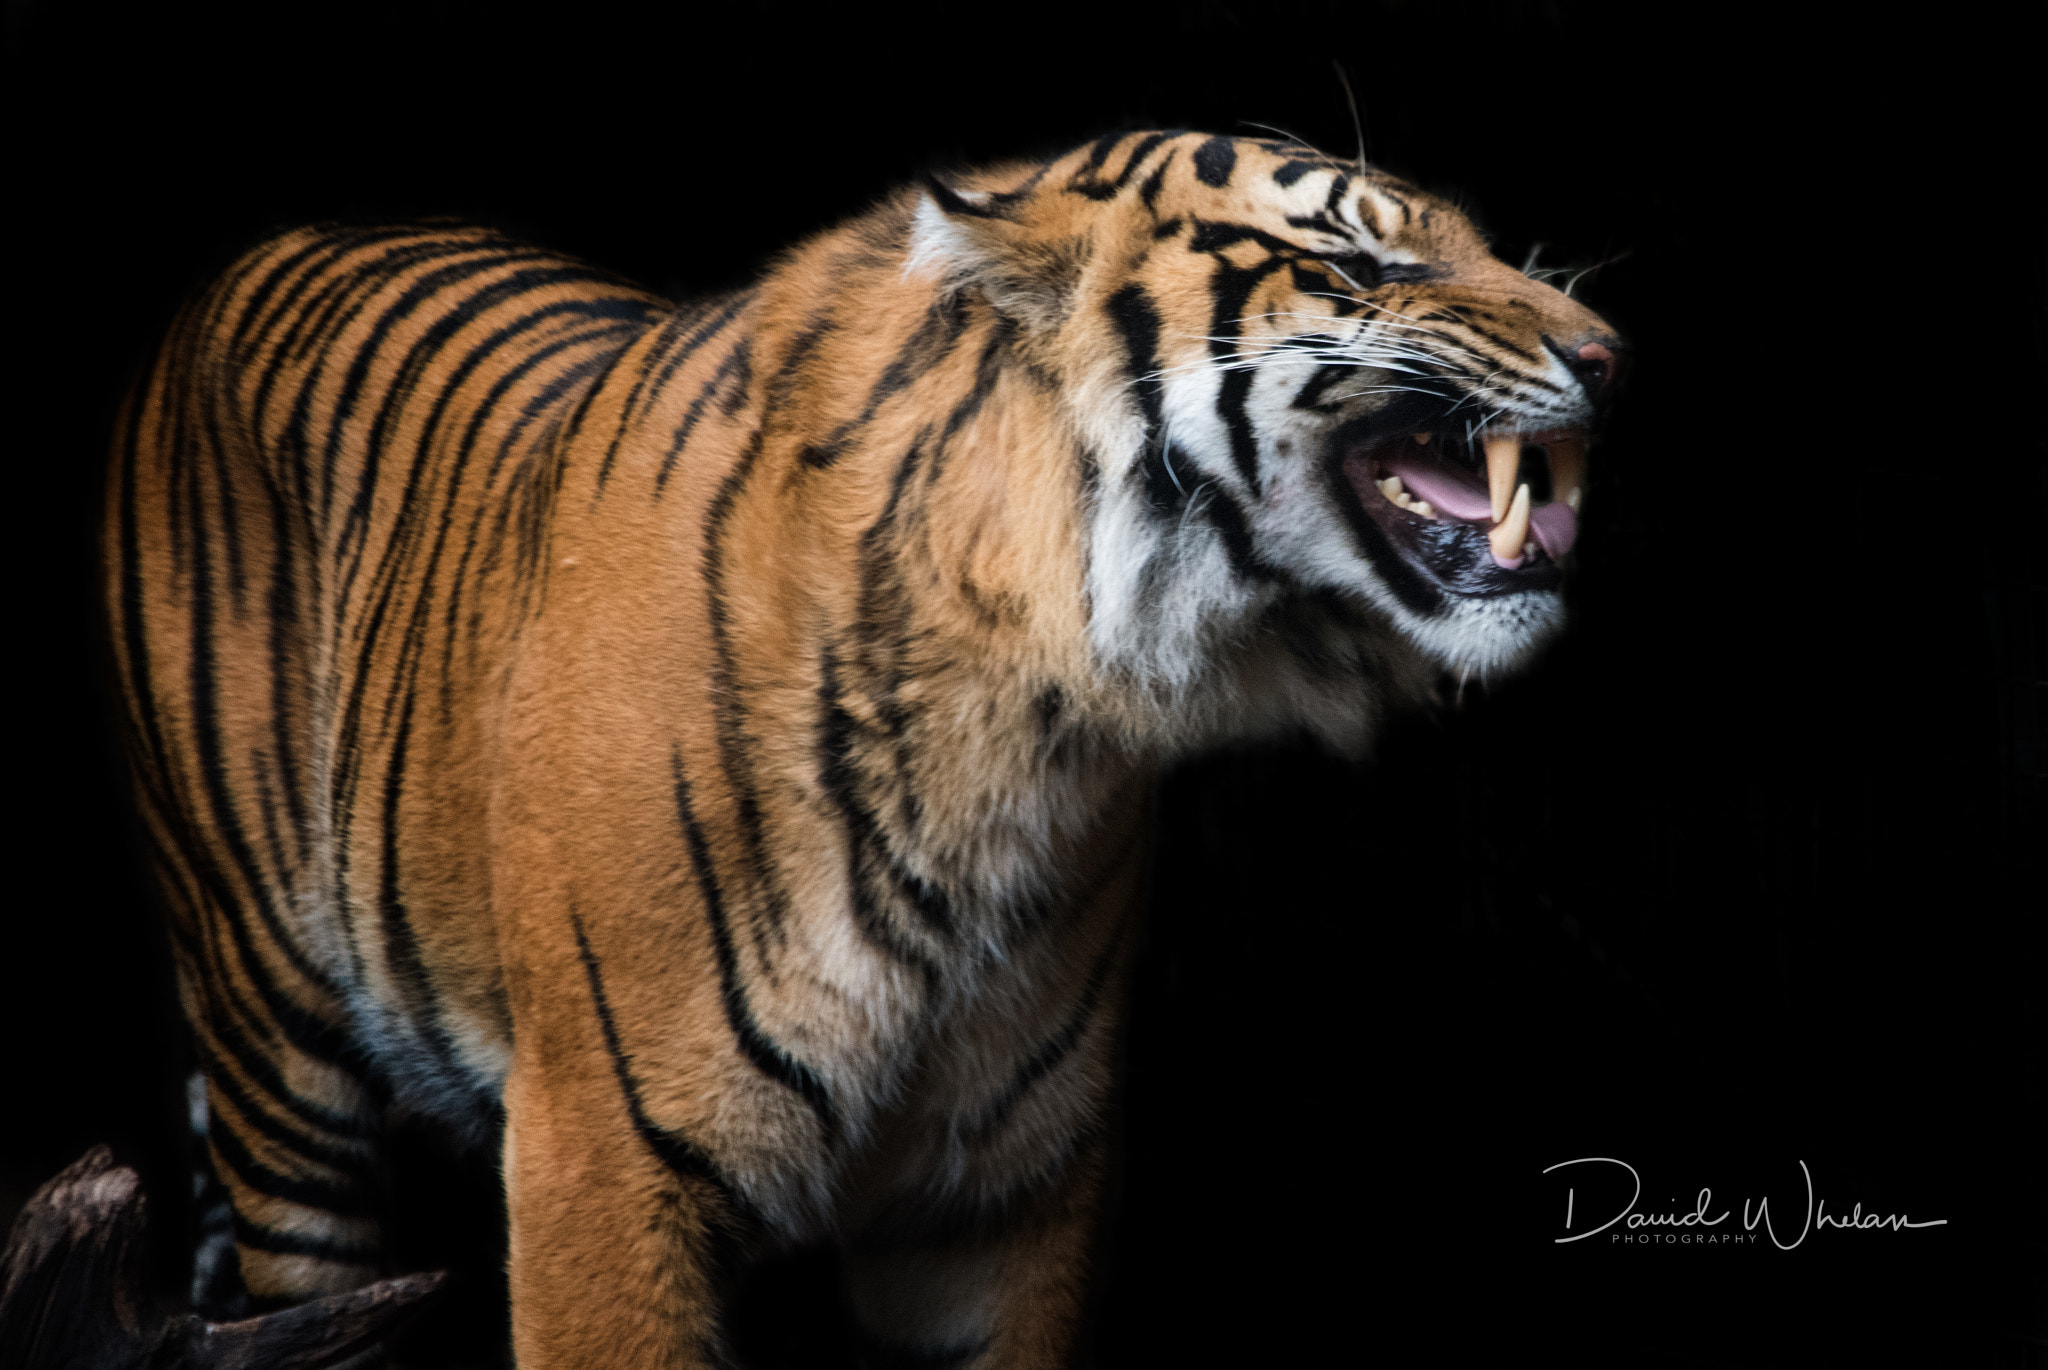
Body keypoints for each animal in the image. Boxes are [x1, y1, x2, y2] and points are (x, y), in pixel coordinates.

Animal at [104, 129, 1619, 1366]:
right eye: (1360, 257)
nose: (1610, 355)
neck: (1025, 720)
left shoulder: (1006, 1189)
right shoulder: (600, 1160)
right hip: (276, 1056)